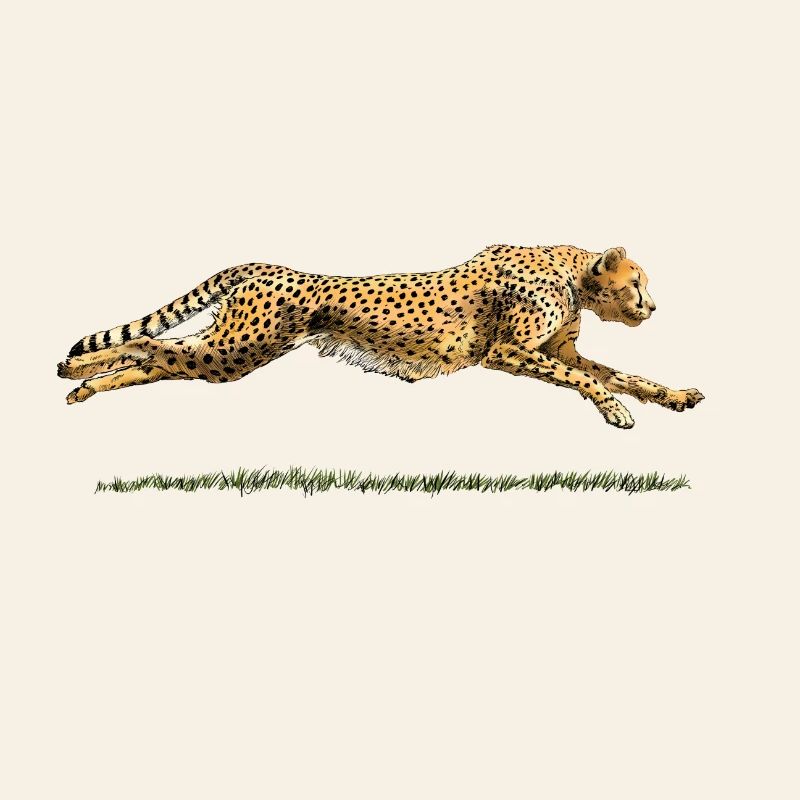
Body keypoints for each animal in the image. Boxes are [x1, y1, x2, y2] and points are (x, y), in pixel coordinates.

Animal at [57, 244, 704, 428]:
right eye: (637, 283)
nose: (653, 306)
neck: (573, 274)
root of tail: (266, 265)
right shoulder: (506, 351)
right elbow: (580, 378)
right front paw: (615, 412)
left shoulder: (554, 349)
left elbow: (621, 374)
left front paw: (674, 396)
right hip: (236, 349)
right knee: (150, 346)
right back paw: (72, 369)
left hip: (229, 353)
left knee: (160, 358)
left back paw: (79, 386)